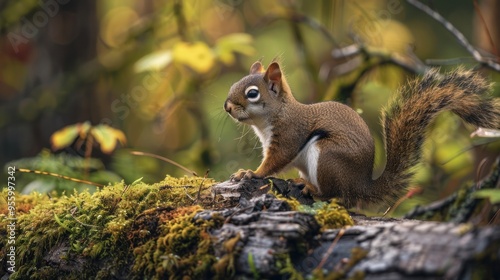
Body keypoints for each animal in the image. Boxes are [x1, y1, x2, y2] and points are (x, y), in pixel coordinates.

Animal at [223, 60, 500, 207]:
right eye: (233, 85)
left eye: (252, 93)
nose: (227, 107)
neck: (273, 117)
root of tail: (361, 186)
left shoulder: (289, 135)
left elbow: (275, 161)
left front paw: (251, 173)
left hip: (328, 156)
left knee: (338, 196)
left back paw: (311, 188)